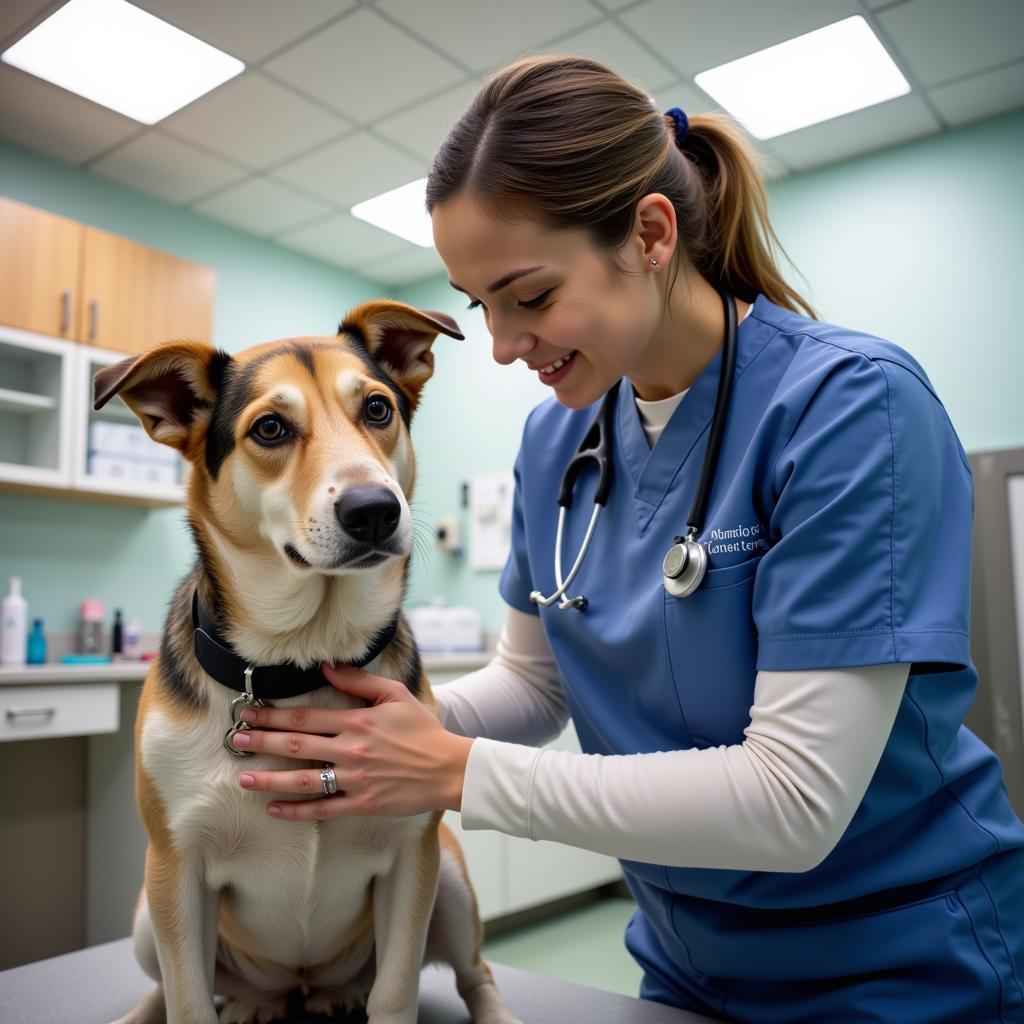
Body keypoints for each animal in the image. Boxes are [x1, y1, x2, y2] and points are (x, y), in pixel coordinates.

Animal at [96, 299, 524, 1024]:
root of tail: (299, 985)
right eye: (269, 427)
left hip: (451, 879)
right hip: (145, 919)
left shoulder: (411, 855)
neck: (305, 659)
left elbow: (397, 990)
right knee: (169, 986)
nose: (374, 510)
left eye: (377, 408)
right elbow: (187, 1000)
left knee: (478, 974)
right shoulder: (175, 866)